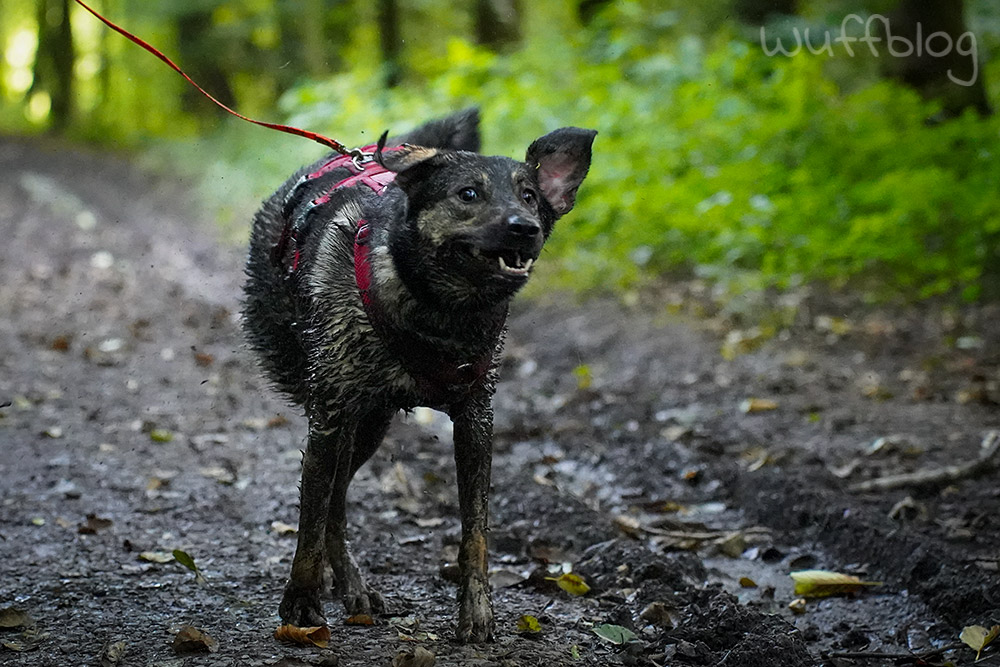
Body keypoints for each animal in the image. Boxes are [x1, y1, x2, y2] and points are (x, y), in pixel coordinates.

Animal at [244, 109, 592, 640]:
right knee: (331, 501)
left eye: (530, 196)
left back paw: (352, 586)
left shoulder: (475, 420)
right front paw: (301, 603)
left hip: (370, 426)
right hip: (333, 410)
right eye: (468, 194)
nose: (525, 227)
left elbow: (476, 533)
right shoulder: (328, 418)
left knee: (339, 499)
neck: (439, 313)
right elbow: (310, 519)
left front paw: (476, 612)